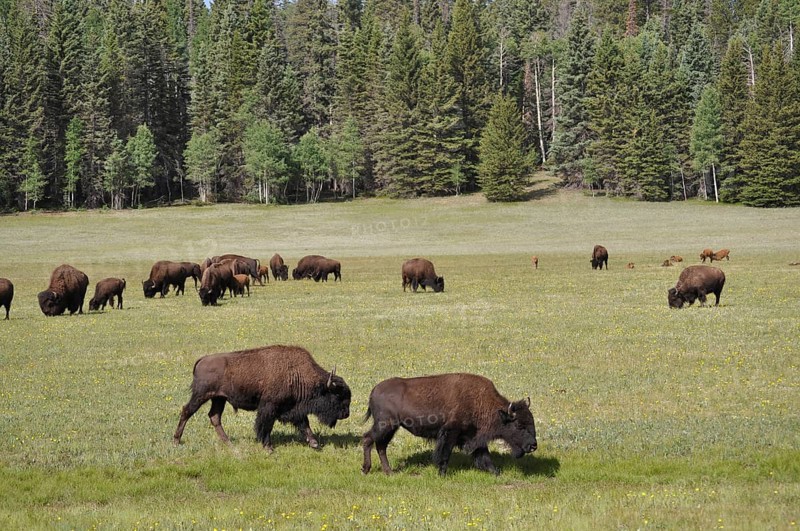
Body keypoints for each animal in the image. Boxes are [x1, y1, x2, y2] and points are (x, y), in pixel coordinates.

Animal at [174, 345, 351, 452]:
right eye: (338, 395)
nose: (346, 414)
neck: (297, 374)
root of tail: (202, 360)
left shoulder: (294, 409)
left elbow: (304, 424)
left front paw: (314, 443)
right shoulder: (269, 407)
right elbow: (265, 425)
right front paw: (268, 447)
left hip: (219, 398)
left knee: (214, 417)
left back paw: (229, 443)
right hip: (201, 395)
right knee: (186, 411)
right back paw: (176, 440)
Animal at [362, 373, 537, 476]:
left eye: (532, 422)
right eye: (519, 425)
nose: (533, 446)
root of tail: (374, 390)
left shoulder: (473, 437)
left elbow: (484, 456)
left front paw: (496, 472)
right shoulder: (450, 433)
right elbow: (445, 454)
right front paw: (442, 473)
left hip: (391, 428)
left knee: (380, 446)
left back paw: (389, 472)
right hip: (385, 425)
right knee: (368, 439)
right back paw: (366, 469)